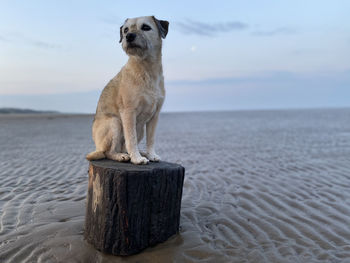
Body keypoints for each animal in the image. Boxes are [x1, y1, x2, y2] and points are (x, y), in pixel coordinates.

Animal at [85, 16, 169, 165]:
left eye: (146, 27)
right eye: (125, 30)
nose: (129, 36)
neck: (146, 69)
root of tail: (97, 147)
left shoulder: (155, 116)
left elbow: (151, 139)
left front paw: (151, 154)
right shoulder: (129, 113)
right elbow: (131, 139)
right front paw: (136, 158)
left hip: (140, 129)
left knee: (123, 147)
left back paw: (141, 153)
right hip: (115, 123)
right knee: (108, 152)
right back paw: (122, 156)